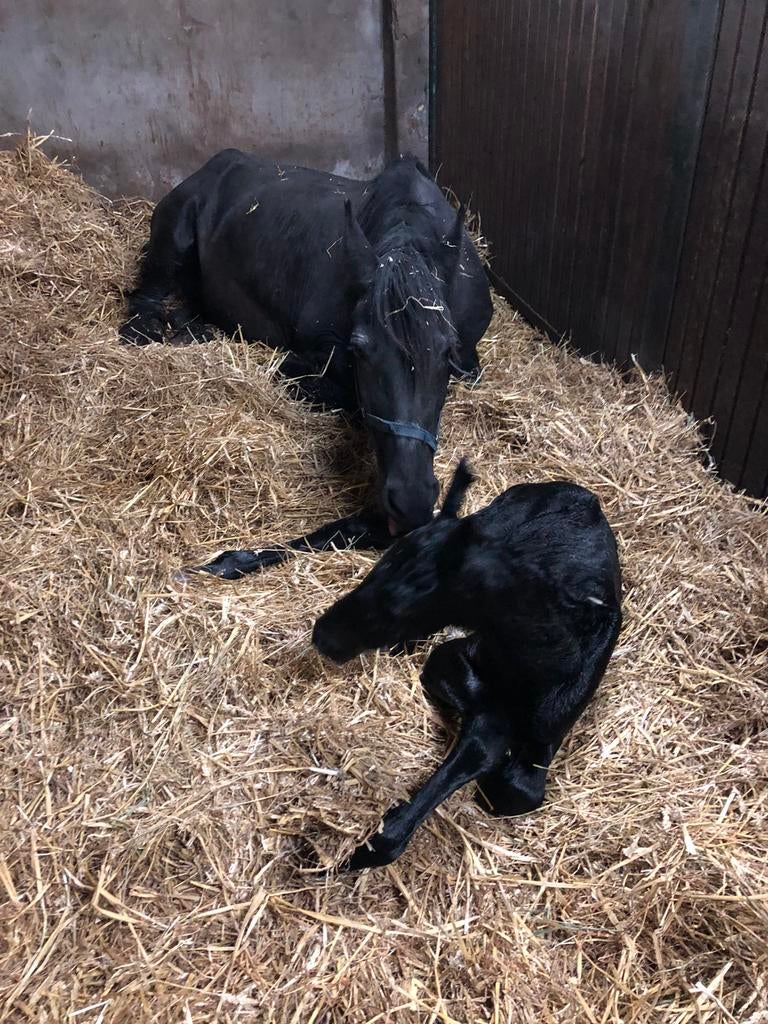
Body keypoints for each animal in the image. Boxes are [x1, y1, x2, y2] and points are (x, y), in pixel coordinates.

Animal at [120, 151, 493, 577]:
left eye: (446, 351)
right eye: (359, 350)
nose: (411, 500)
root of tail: (213, 166)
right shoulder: (305, 364)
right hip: (170, 245)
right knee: (143, 308)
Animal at [312, 461, 622, 869]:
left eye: (398, 610)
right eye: (375, 572)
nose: (322, 635)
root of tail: (584, 494)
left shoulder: (549, 728)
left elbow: (516, 787)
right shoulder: (453, 660)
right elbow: (482, 739)